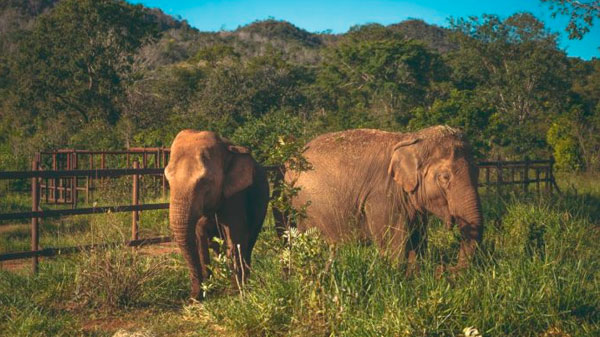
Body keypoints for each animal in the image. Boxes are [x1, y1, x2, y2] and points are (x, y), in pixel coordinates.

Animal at [163, 130, 268, 298]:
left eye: (205, 182)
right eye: (168, 180)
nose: (192, 297)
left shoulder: (236, 195)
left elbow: (235, 236)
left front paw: (235, 292)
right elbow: (200, 236)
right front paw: (205, 292)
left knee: (249, 241)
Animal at [280, 125, 482, 270]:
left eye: (478, 171)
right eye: (445, 177)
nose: (445, 269)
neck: (411, 140)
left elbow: (417, 240)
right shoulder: (382, 197)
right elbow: (395, 246)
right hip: (303, 208)